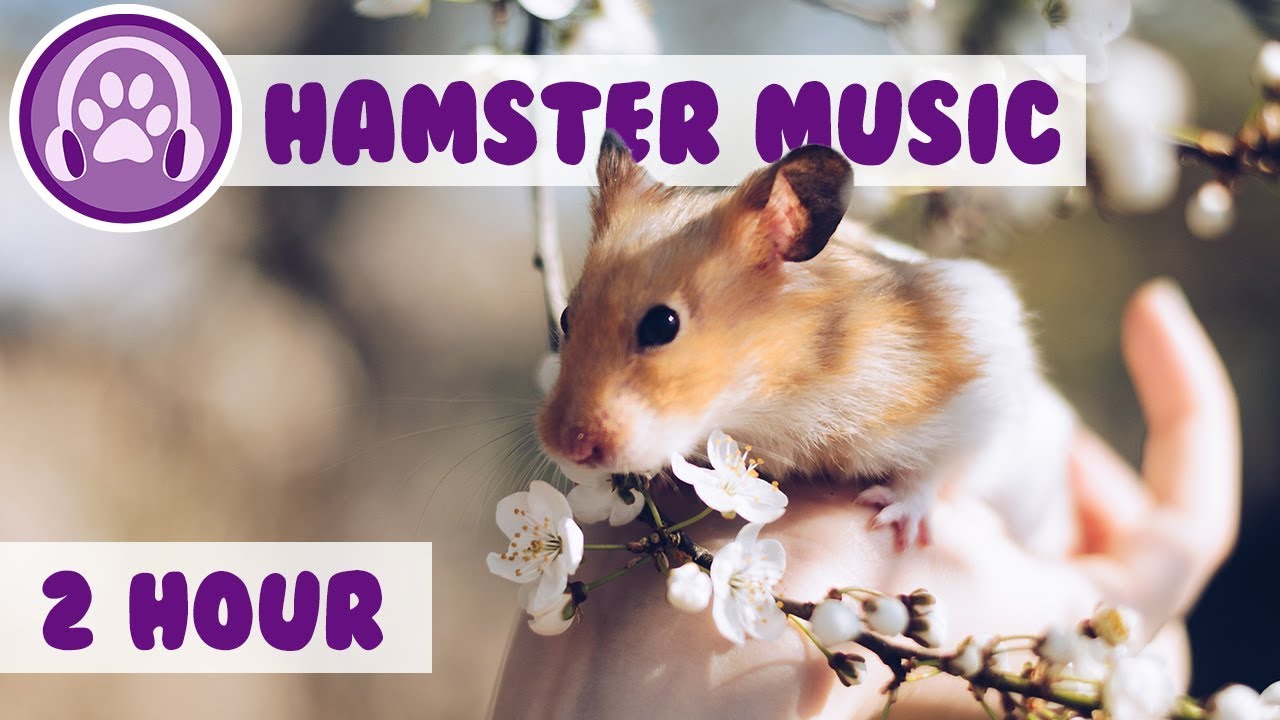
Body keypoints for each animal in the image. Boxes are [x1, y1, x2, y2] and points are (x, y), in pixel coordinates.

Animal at [537, 131, 1077, 554]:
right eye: (565, 317)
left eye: (662, 325)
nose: (567, 447)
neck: (776, 395)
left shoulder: (980, 390)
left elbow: (935, 469)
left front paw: (891, 521)